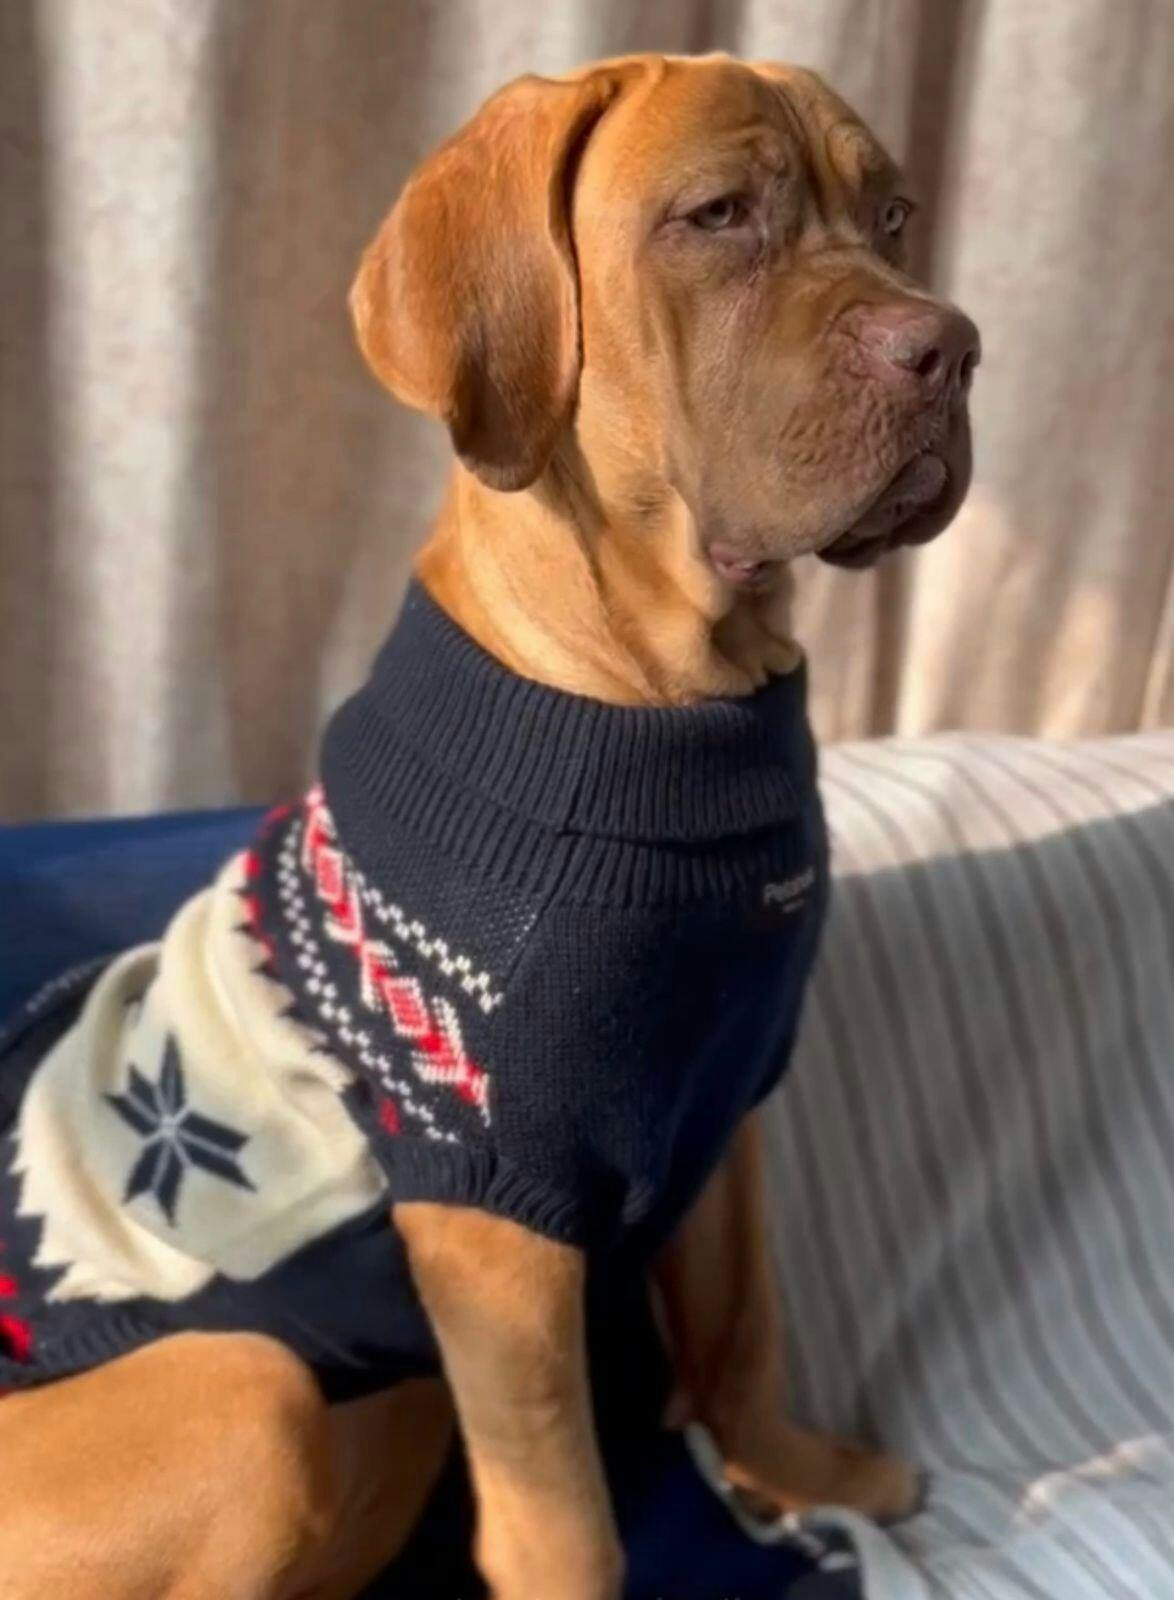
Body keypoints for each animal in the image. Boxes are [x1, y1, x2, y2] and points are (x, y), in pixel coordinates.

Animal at [0, 54, 976, 1600]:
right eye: (716, 215)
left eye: (892, 216)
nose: (950, 347)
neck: (665, 698)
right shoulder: (493, 1221)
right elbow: (558, 1506)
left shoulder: (719, 1113)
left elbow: (745, 1331)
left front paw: (805, 1476)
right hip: (252, 1396)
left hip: (379, 1420)